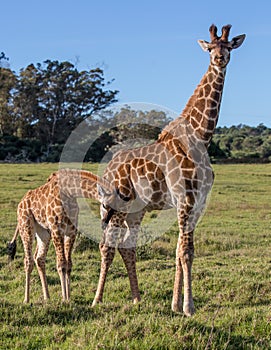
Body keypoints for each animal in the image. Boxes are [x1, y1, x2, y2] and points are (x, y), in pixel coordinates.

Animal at [8, 168, 123, 302]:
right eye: (104, 205)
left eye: (116, 210)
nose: (105, 223)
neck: (69, 192)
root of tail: (20, 203)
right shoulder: (57, 230)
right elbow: (61, 264)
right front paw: (64, 298)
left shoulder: (71, 232)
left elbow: (68, 264)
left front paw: (68, 297)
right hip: (26, 226)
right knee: (28, 260)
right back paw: (26, 299)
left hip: (43, 232)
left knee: (39, 258)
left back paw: (47, 297)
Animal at [93, 23, 246, 316]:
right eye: (210, 47)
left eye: (228, 46)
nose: (219, 59)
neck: (201, 136)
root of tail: (107, 170)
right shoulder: (184, 200)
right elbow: (185, 252)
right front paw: (188, 307)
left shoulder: (197, 203)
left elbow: (181, 251)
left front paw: (176, 304)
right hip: (116, 205)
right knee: (107, 245)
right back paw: (97, 300)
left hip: (137, 209)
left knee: (127, 246)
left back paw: (137, 298)